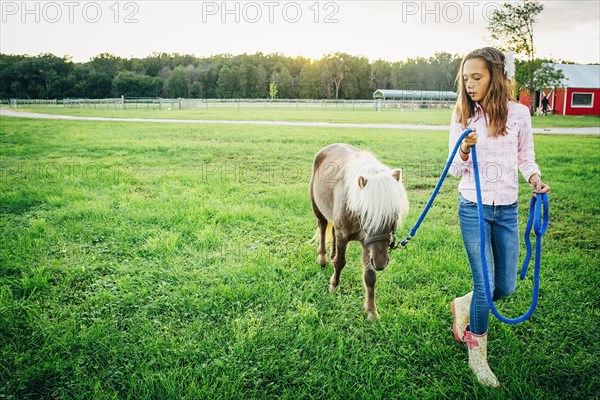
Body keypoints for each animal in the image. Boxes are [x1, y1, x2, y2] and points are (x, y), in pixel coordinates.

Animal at [310, 142, 408, 320]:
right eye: (366, 213)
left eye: (395, 214)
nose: (381, 263)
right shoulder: (344, 236)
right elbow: (340, 262)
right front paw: (334, 286)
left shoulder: (367, 243)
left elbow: (370, 276)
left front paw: (371, 311)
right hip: (317, 208)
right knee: (322, 228)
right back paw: (323, 258)